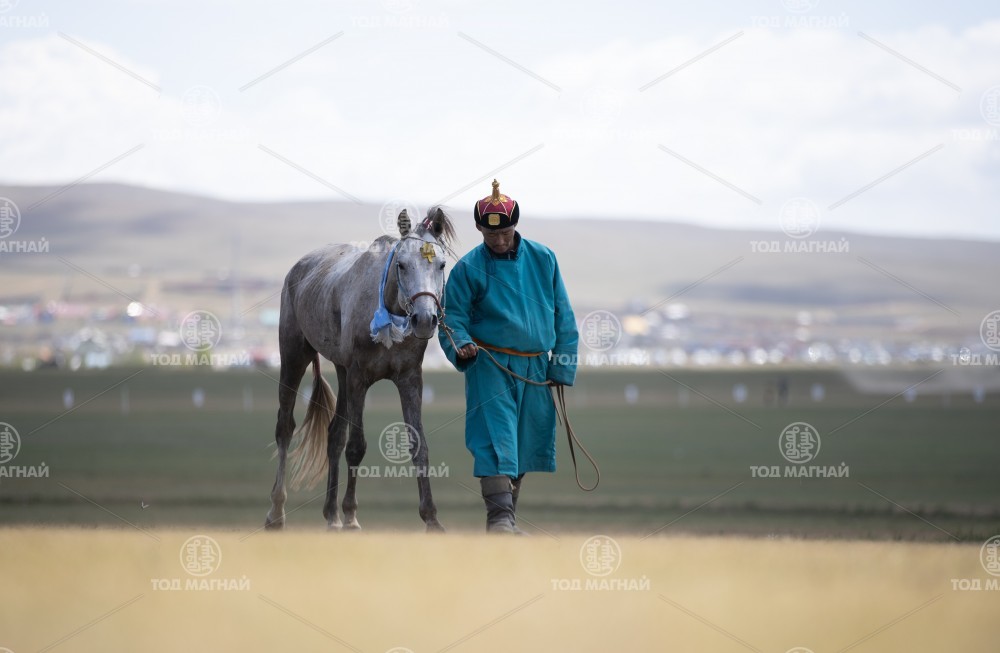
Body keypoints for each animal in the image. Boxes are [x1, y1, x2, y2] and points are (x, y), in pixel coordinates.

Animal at [265, 207, 457, 532]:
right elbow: (356, 446)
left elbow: (418, 445)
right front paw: (351, 515)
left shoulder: (409, 378)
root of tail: (299, 268)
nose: (424, 319)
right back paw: (276, 512)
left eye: (441, 265)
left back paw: (331, 515)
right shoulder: (358, 378)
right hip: (294, 356)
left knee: (333, 435)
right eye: (402, 265)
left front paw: (431, 518)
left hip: (341, 372)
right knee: (284, 428)